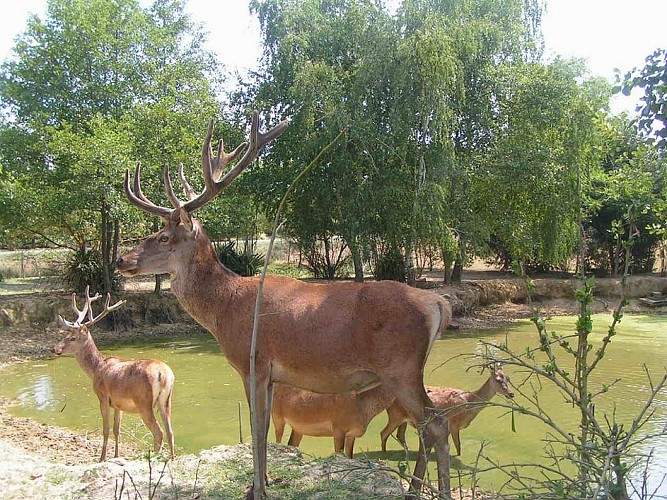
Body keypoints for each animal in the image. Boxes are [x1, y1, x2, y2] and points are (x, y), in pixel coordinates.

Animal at [52, 288, 175, 462]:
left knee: (159, 432)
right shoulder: (118, 404)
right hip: (166, 400)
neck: (96, 369)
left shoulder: (103, 396)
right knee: (170, 431)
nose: (54, 349)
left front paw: (102, 458)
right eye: (65, 335)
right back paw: (172, 458)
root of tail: (163, 374)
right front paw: (116, 456)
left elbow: (106, 429)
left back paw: (154, 457)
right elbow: (117, 430)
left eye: (72, 338)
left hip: (144, 402)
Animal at [378, 364, 516, 458]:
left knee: (399, 435)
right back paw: (384, 454)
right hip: (395, 415)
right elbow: (458, 446)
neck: (468, 405)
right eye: (498, 380)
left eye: (507, 379)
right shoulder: (454, 423)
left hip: (404, 418)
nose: (511, 393)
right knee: (384, 433)